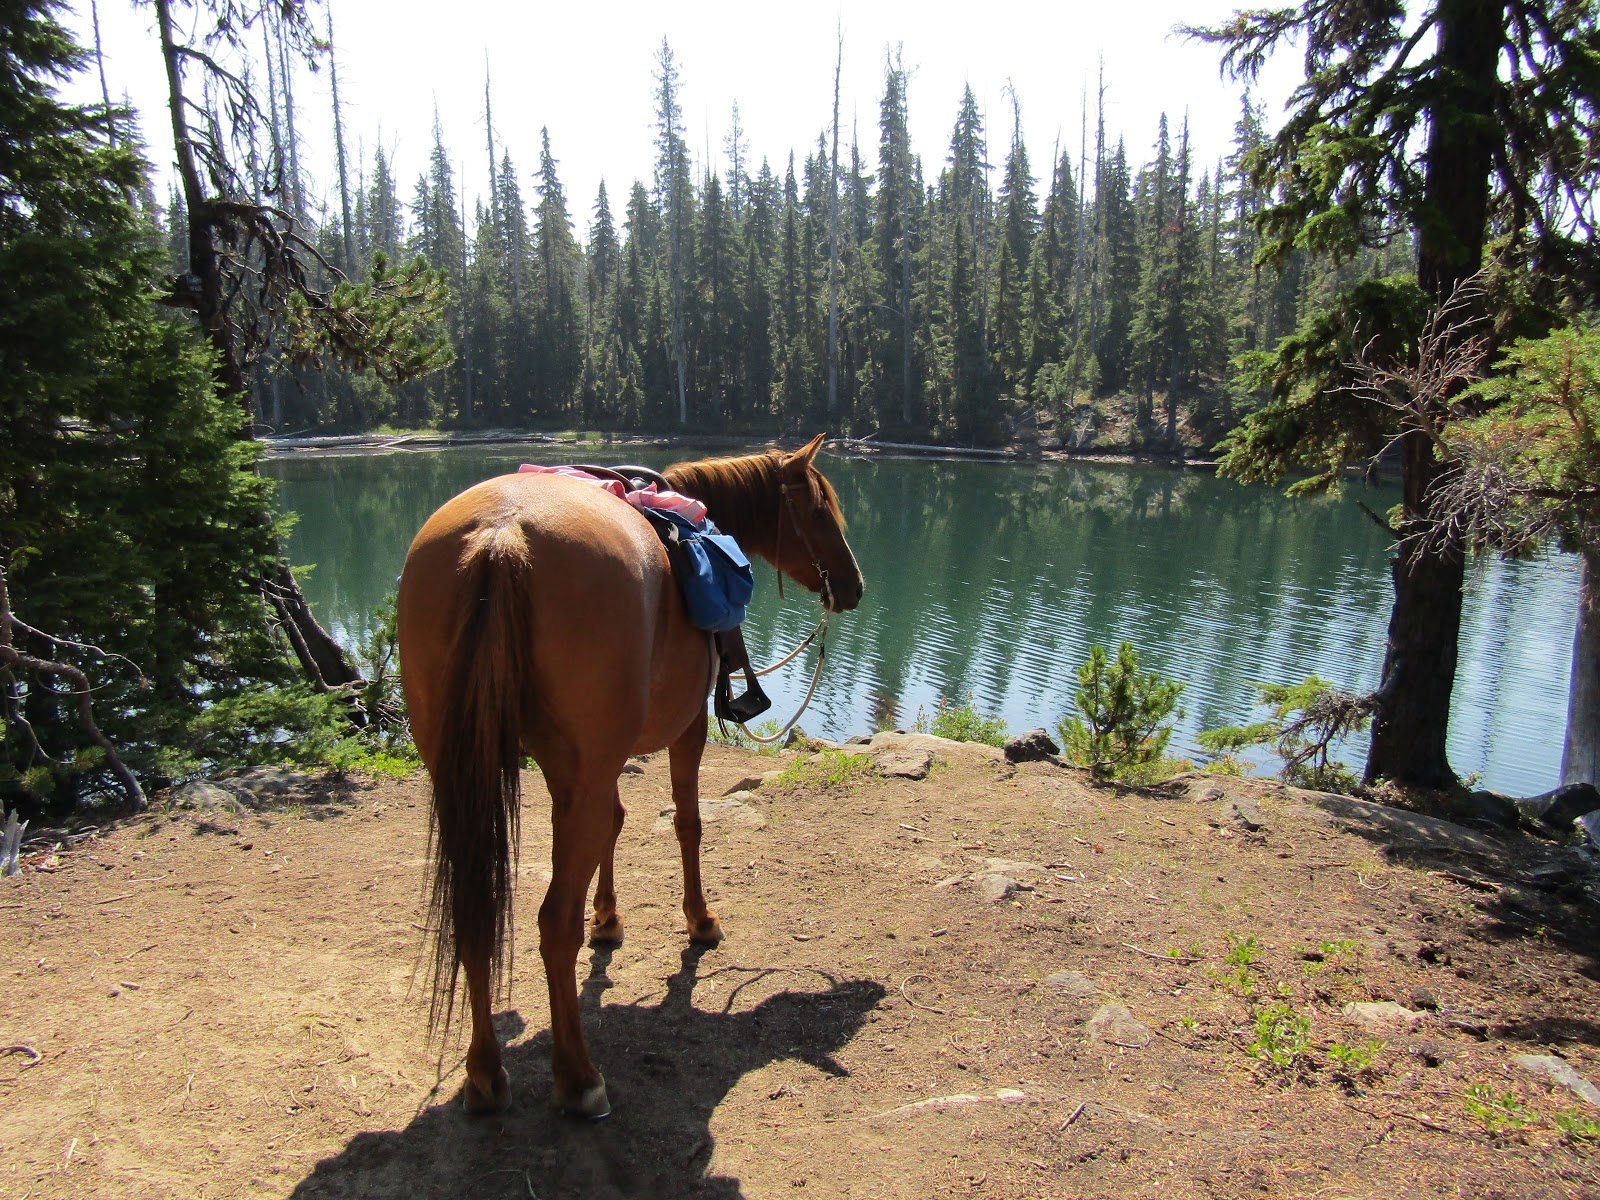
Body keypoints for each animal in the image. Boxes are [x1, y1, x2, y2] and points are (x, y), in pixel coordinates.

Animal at [395, 433, 863, 1119]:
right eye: (821, 510)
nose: (854, 586)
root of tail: (500, 537)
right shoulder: (684, 729)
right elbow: (688, 823)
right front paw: (700, 921)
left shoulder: (594, 766)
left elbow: (613, 828)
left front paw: (609, 921)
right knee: (550, 925)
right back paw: (579, 1077)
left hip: (467, 775)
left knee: (476, 908)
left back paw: (484, 1074)